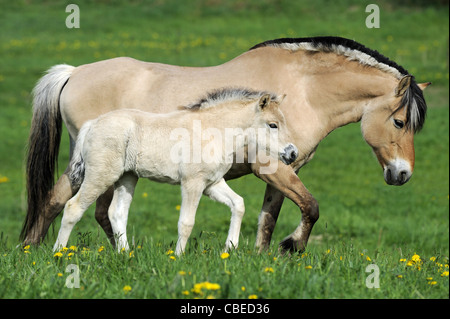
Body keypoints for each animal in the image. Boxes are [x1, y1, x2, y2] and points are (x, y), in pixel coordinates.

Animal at [53, 89, 298, 256]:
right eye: (273, 125)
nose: (292, 153)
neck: (213, 131)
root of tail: (92, 124)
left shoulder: (212, 183)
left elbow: (238, 204)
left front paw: (229, 249)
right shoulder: (192, 182)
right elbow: (186, 222)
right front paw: (178, 257)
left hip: (127, 177)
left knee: (117, 213)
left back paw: (126, 254)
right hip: (100, 176)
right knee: (73, 208)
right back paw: (58, 253)